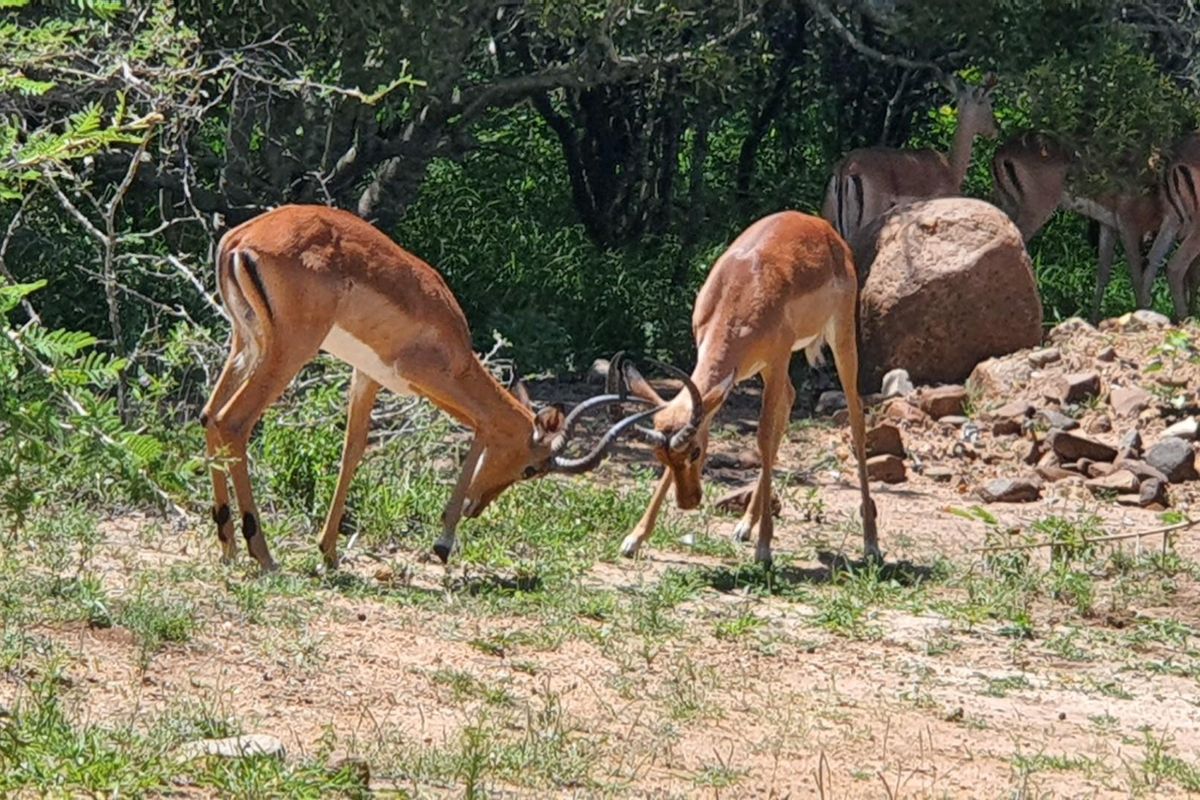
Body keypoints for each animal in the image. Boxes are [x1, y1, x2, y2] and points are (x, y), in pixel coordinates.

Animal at [201, 204, 660, 571]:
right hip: (289, 351)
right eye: (531, 468)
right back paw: (262, 555)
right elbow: (483, 424)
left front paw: (329, 553)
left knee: (209, 417)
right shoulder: (428, 378)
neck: (450, 335)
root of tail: (241, 240)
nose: (477, 507)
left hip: (246, 345)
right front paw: (443, 544)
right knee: (232, 422)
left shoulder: (367, 375)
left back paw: (227, 546)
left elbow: (352, 451)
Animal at [607, 211, 878, 565]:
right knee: (789, 402)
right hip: (762, 370)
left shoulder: (777, 358)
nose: (689, 501)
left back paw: (871, 545)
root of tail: (822, 227)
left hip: (840, 337)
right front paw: (634, 539)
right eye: (660, 456)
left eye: (694, 452)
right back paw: (744, 526)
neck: (740, 289)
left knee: (855, 415)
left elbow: (762, 436)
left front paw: (765, 549)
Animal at [991, 131, 1165, 318]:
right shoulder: (1128, 226)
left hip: (1008, 205)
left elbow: (1103, 273)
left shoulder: (1109, 226)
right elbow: (1137, 277)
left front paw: (1093, 319)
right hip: (1036, 210)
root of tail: (1001, 153)